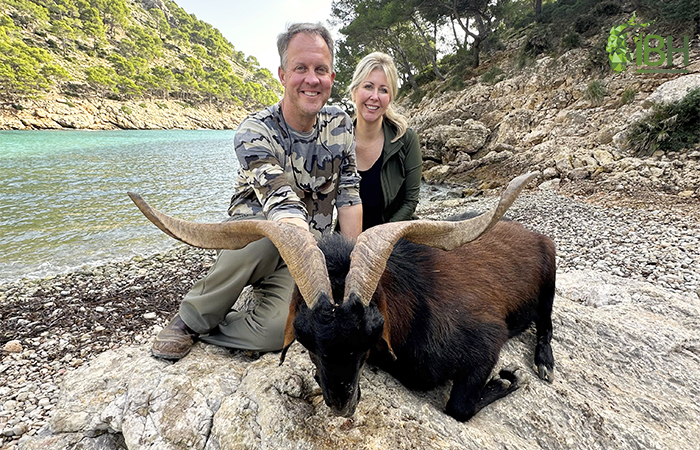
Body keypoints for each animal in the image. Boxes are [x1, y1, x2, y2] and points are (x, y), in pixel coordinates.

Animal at [127, 172, 552, 422]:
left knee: (545, 320)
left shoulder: (487, 339)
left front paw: (510, 379)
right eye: (304, 338)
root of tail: (531, 233)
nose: (341, 404)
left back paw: (544, 363)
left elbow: (458, 407)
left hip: (549, 269)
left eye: (372, 332)